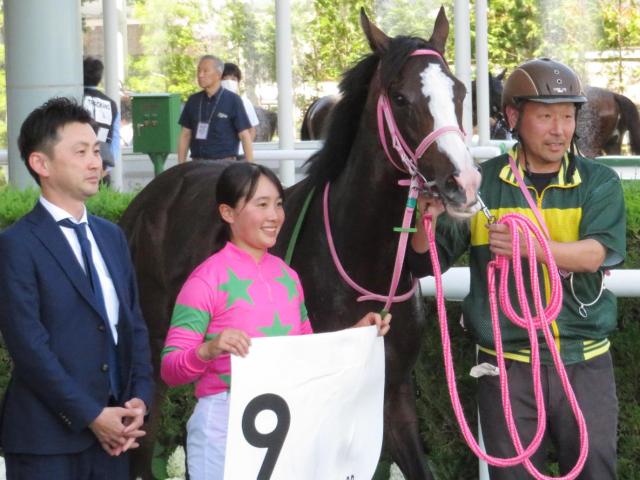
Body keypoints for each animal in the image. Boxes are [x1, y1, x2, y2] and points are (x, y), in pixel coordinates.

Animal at [120, 8, 480, 480]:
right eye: (401, 98)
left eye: (458, 91)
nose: (463, 182)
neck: (365, 259)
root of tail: (143, 202)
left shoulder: (393, 390)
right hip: (153, 353)